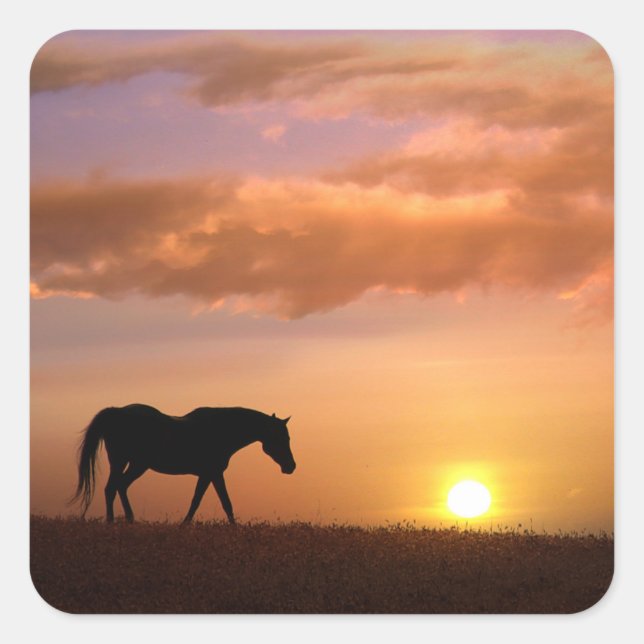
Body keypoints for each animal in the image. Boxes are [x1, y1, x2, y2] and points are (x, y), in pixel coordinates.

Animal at [70, 403, 296, 524]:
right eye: (281, 438)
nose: (291, 466)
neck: (221, 430)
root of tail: (116, 412)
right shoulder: (212, 473)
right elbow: (220, 502)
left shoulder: (209, 474)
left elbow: (201, 500)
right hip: (127, 463)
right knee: (113, 487)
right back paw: (114, 521)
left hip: (131, 463)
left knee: (118, 487)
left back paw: (127, 519)